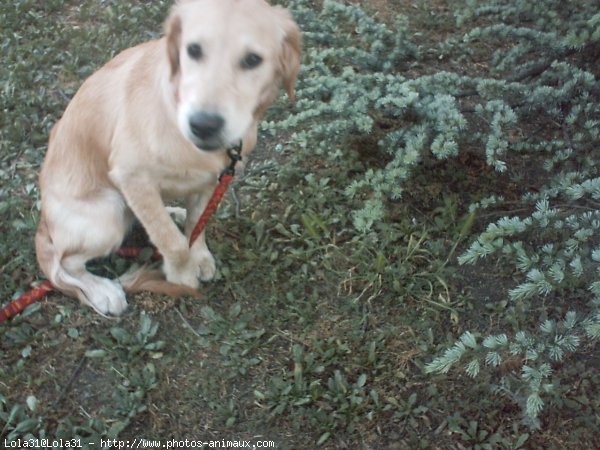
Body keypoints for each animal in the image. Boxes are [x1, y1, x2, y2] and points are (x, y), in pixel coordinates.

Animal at [35, 0, 302, 316]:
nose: (204, 125)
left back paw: (175, 213)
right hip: (109, 212)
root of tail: (45, 221)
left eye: (252, 59)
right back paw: (102, 290)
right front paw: (181, 275)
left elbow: (198, 221)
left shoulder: (214, 178)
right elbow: (170, 240)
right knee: (63, 263)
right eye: (193, 50)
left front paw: (198, 254)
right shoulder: (131, 177)